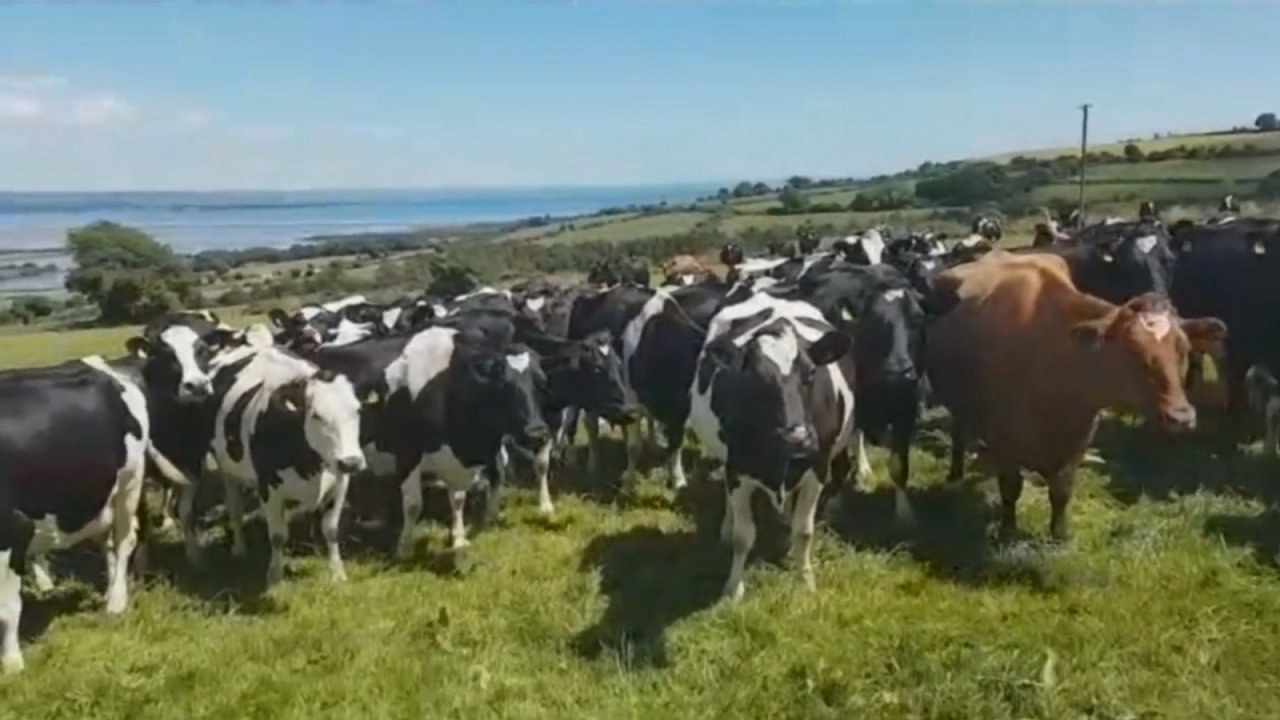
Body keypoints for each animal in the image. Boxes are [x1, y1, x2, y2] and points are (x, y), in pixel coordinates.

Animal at [0, 357, 164, 673]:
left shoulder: (14, 530)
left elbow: (7, 607)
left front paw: (12, 663)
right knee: (108, 543)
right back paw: (110, 589)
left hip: (129, 483)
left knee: (124, 541)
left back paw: (116, 602)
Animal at [189, 345, 367, 588]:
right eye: (316, 415)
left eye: (357, 410)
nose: (351, 461)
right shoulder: (269, 488)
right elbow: (278, 536)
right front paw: (274, 577)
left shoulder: (340, 483)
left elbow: (330, 530)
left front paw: (337, 574)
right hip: (227, 469)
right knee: (235, 509)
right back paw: (239, 550)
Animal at [687, 292, 855, 600]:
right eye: (754, 378)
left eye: (811, 372)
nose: (798, 438)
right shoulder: (738, 468)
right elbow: (743, 536)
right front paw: (734, 588)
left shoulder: (817, 467)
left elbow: (804, 531)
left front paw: (805, 580)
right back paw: (726, 527)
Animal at [924, 251, 1226, 541]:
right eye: (1132, 350)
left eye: (1182, 348)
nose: (1181, 417)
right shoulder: (1003, 441)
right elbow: (1010, 489)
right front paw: (1007, 530)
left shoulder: (1078, 440)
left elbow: (1061, 491)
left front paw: (1059, 535)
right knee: (958, 432)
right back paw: (955, 473)